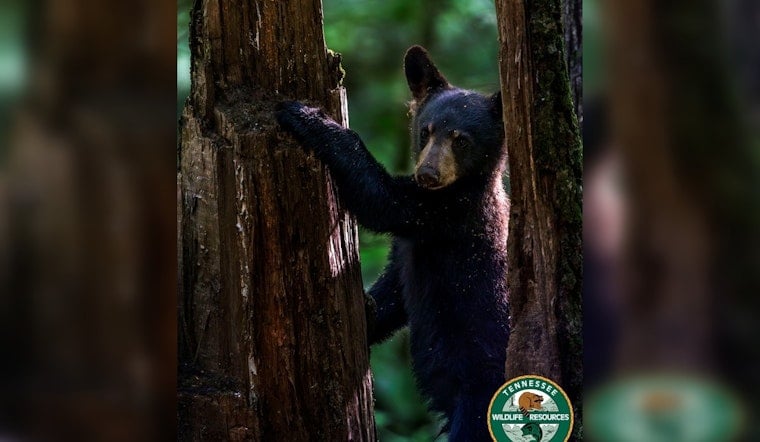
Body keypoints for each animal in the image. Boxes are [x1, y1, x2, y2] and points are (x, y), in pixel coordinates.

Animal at [276, 45, 509, 441]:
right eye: (426, 131)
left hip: (482, 391)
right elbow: (397, 284)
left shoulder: (444, 215)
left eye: (461, 139)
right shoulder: (414, 239)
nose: (427, 174)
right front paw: (367, 313)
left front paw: (305, 115)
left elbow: (382, 200)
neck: (461, 188)